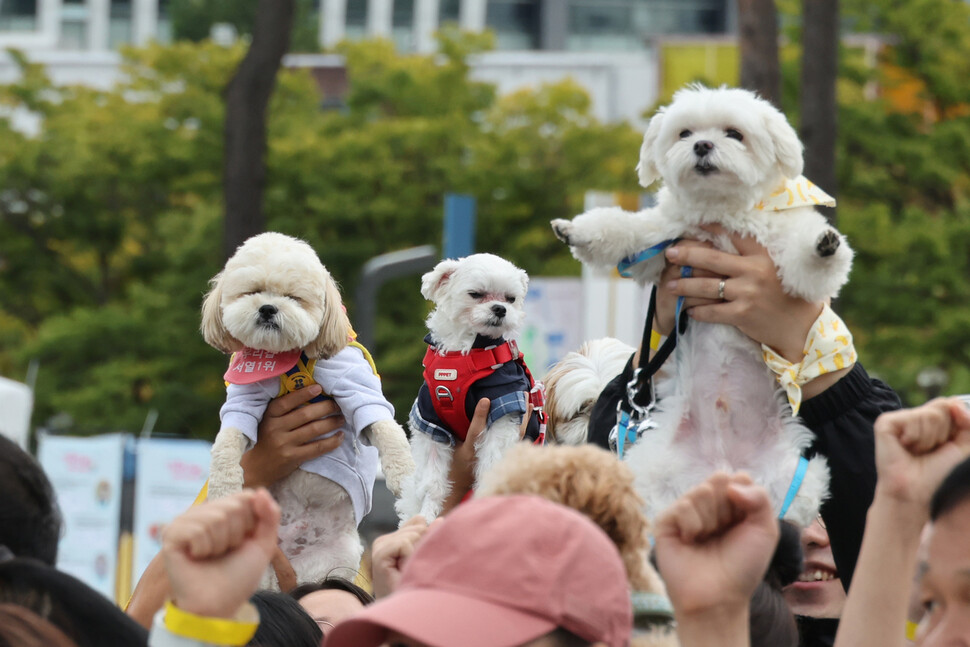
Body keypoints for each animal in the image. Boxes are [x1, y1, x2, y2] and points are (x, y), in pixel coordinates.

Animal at [202, 232, 414, 588]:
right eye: (253, 291)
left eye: (294, 298)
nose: (268, 308)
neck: (290, 358)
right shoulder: (245, 397)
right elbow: (228, 438)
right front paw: (223, 486)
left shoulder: (354, 384)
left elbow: (384, 425)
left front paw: (405, 475)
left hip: (333, 562)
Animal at [394, 253, 544, 528]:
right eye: (476, 294)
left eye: (510, 298)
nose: (500, 309)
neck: (465, 354)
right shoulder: (430, 420)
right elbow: (432, 482)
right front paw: (427, 516)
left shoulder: (503, 406)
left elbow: (492, 466)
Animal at [548, 85, 852, 528]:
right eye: (685, 133)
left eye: (734, 133)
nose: (703, 145)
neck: (719, 214)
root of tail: (723, 469)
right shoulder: (661, 243)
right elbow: (622, 228)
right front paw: (575, 231)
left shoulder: (782, 254)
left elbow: (809, 268)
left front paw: (825, 246)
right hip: (651, 466)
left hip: (796, 475)